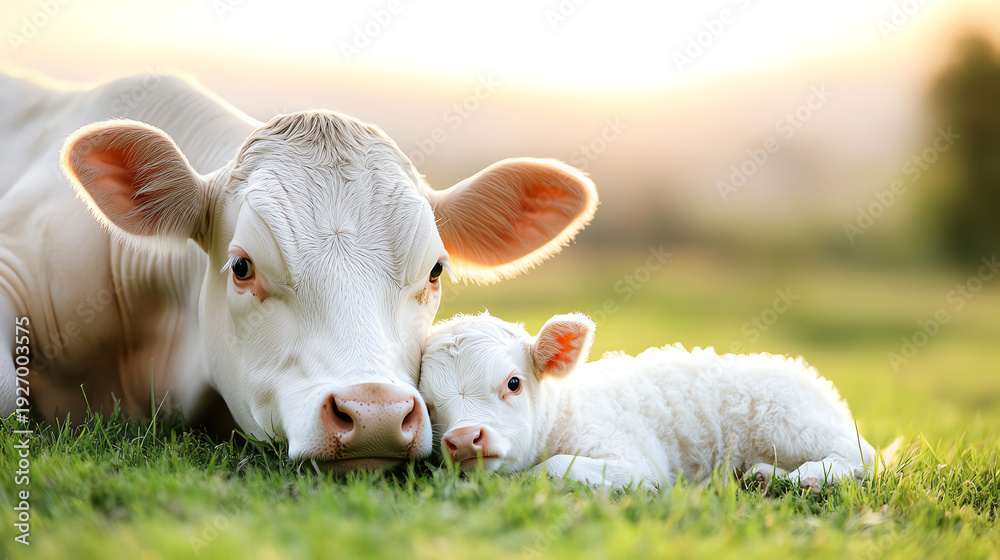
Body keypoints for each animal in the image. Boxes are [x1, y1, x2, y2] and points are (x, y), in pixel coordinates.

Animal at [418, 312, 876, 490]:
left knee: (863, 457)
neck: (564, 410)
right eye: (430, 404)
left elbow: (552, 468)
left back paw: (808, 477)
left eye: (513, 383)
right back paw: (764, 476)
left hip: (791, 423)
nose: (465, 439)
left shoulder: (636, 462)